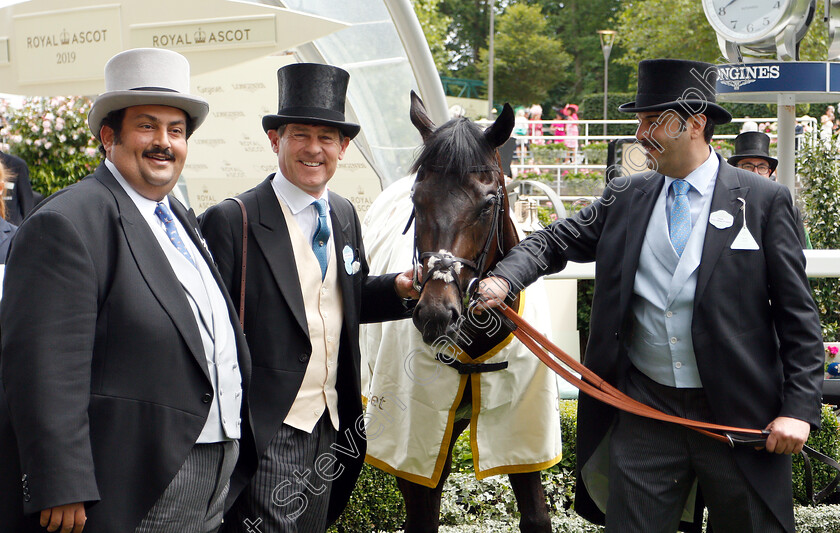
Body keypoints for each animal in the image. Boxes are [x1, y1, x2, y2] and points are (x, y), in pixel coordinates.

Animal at [360, 92, 564, 532]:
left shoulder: (522, 434)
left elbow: (536, 515)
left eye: (488, 203)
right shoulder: (415, 437)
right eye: (417, 199)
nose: (436, 314)